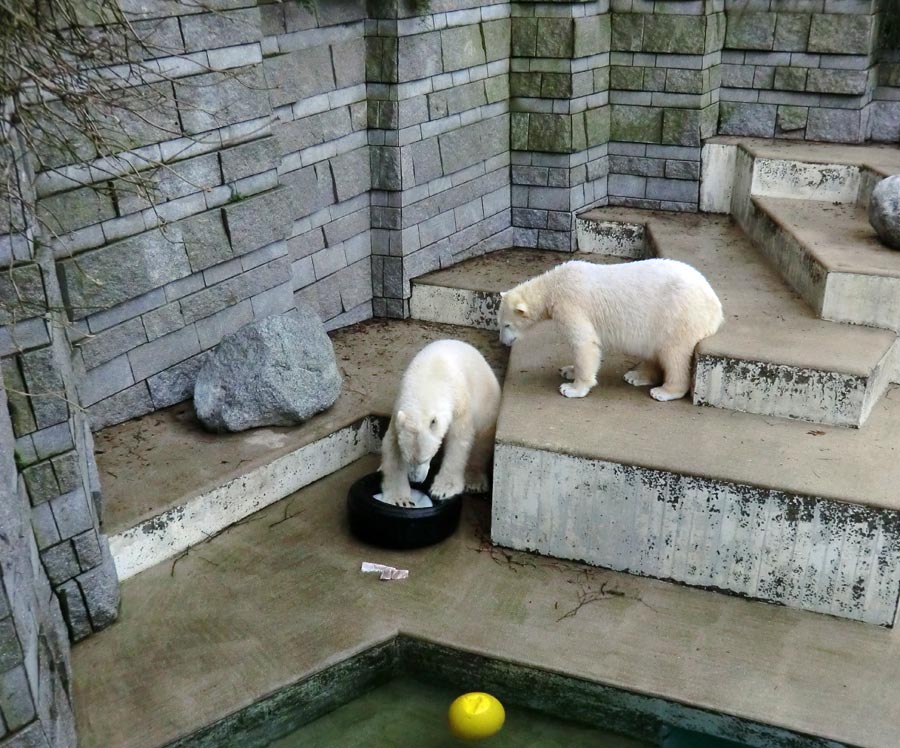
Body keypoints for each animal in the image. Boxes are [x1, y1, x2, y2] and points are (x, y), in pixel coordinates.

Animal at [380, 340, 502, 508]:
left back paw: (474, 481)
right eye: (408, 459)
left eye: (425, 458)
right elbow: (392, 446)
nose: (415, 480)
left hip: (487, 405)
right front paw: (400, 500)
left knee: (481, 443)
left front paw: (441, 490)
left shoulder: (460, 401)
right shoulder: (399, 412)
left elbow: (459, 441)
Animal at [500, 258, 724, 404]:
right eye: (500, 323)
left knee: (674, 353)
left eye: (506, 325)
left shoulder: (571, 304)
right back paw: (636, 376)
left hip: (679, 315)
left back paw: (664, 391)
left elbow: (584, 342)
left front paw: (572, 388)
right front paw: (567, 370)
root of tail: (716, 307)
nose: (503, 342)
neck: (553, 285)